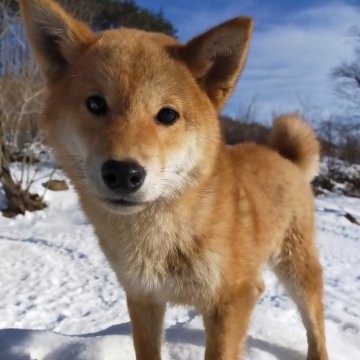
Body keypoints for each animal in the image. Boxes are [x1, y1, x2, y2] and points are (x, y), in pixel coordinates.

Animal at [20, 1, 330, 358]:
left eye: (167, 114)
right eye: (95, 104)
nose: (123, 173)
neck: (164, 233)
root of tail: (286, 158)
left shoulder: (229, 302)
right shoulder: (143, 297)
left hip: (297, 269)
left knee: (315, 323)